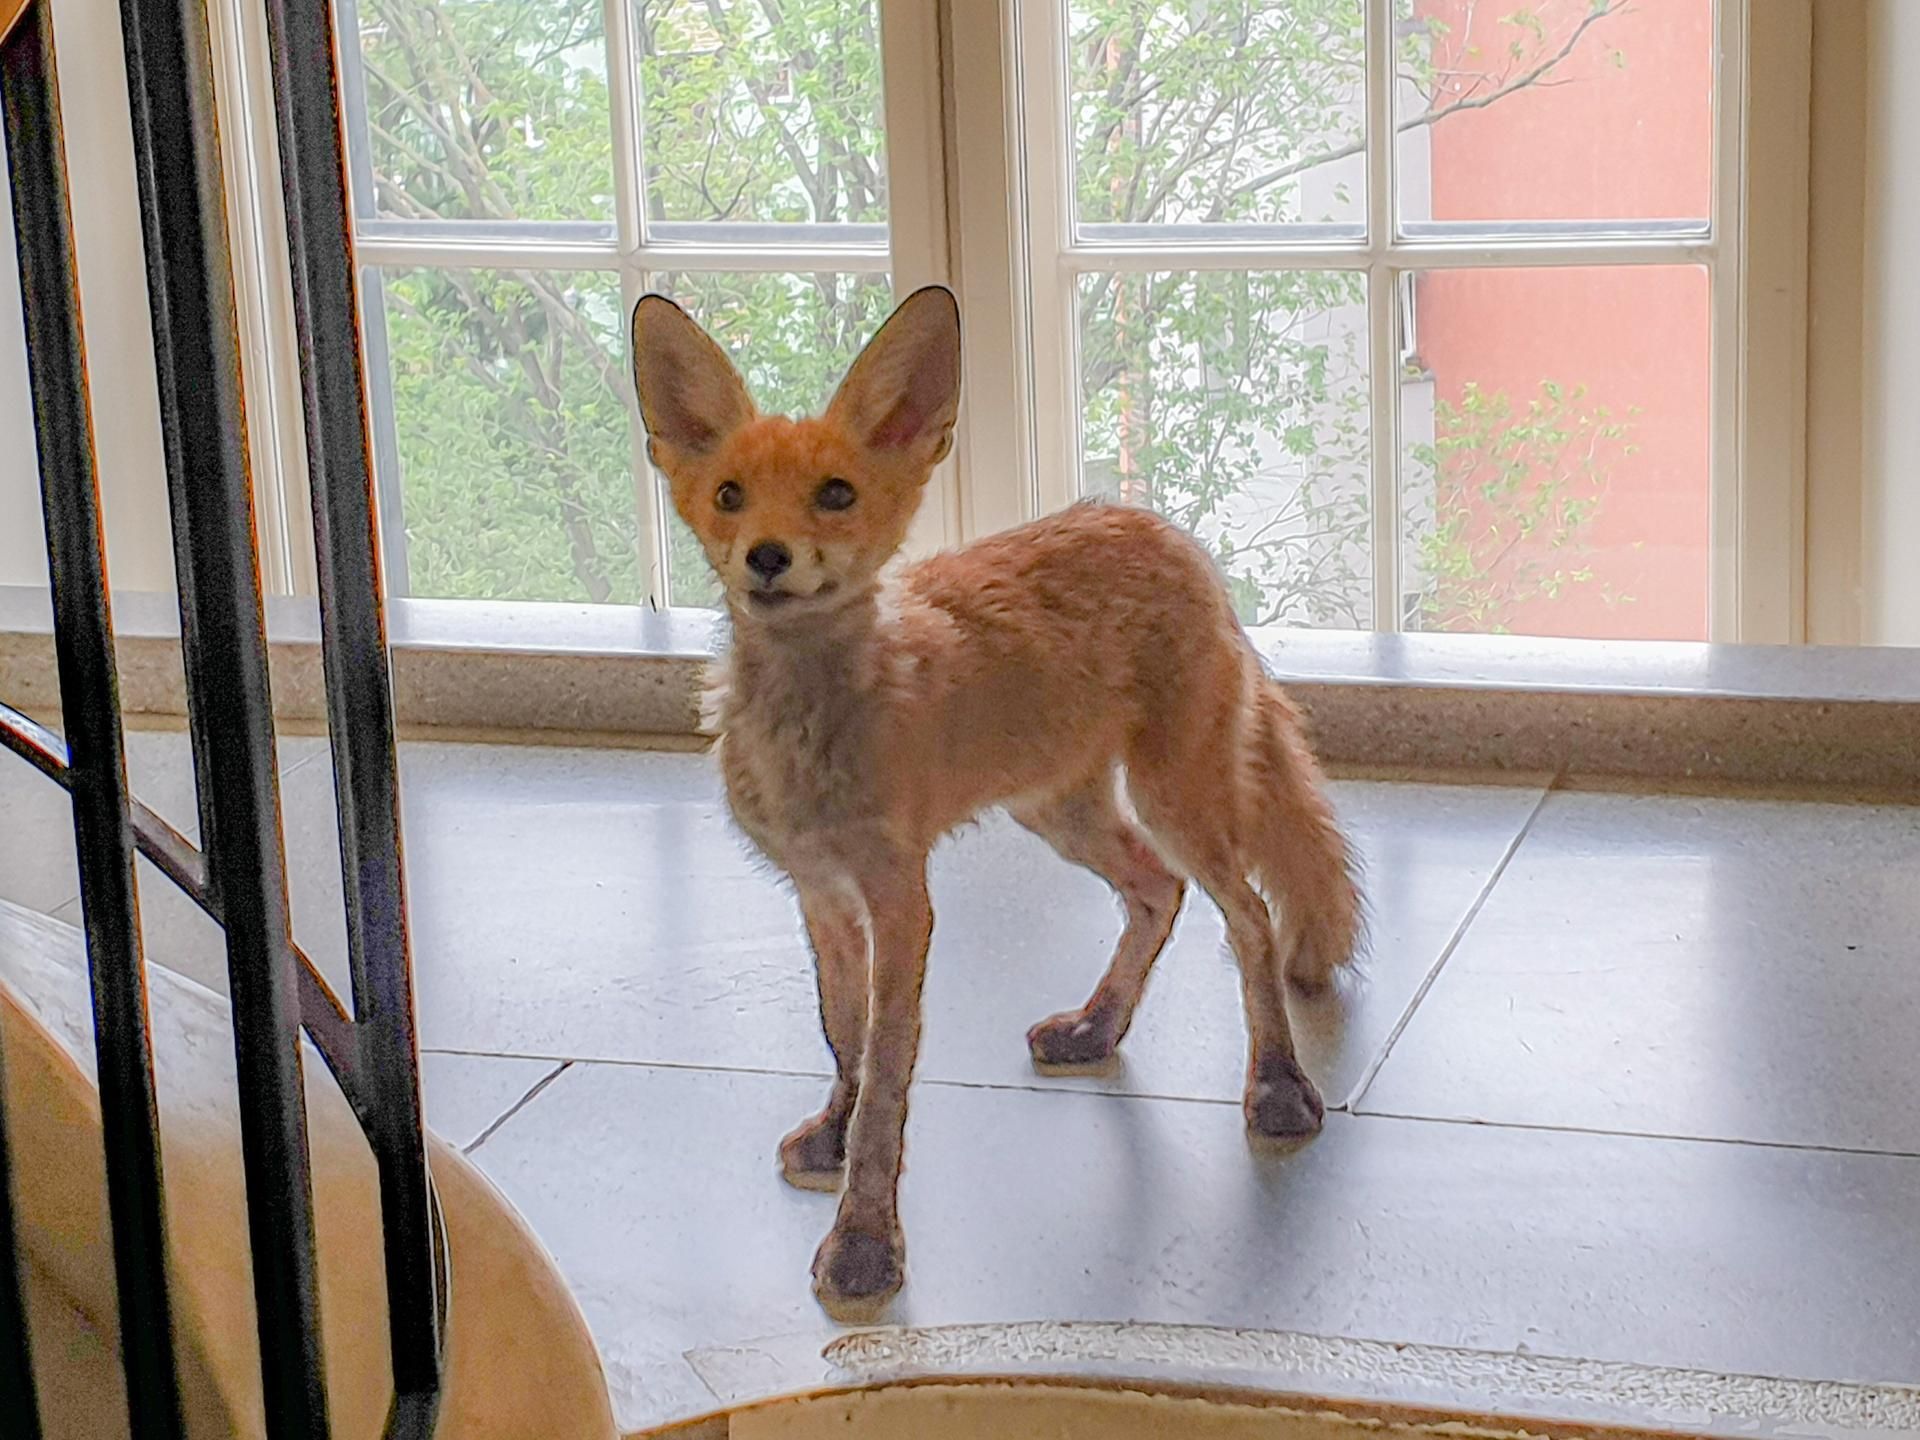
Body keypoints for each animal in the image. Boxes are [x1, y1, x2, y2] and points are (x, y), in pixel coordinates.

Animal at [629, 284, 1362, 1318]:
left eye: (836, 495)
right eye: (729, 495)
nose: (766, 558)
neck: (809, 745)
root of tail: (1159, 529)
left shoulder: (902, 898)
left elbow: (887, 1078)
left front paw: (863, 1245)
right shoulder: (821, 893)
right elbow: (844, 1042)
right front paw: (833, 1137)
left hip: (1174, 795)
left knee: (1250, 918)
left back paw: (1278, 1089)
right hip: (1060, 810)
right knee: (1157, 892)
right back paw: (1098, 1027)